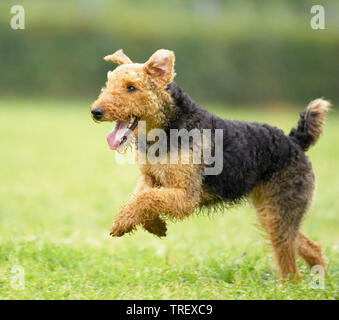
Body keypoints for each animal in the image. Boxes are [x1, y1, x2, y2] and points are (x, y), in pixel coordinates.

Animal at [91, 48, 330, 278]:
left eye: (131, 87)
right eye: (108, 84)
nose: (96, 112)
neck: (169, 128)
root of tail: (294, 141)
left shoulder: (186, 195)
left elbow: (146, 198)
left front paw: (123, 223)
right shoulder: (151, 177)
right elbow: (140, 197)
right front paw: (155, 226)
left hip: (281, 209)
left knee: (290, 260)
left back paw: (290, 285)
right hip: (270, 212)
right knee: (309, 246)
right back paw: (317, 277)